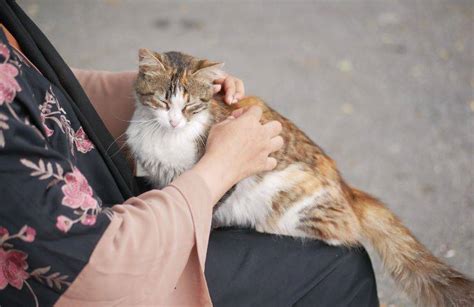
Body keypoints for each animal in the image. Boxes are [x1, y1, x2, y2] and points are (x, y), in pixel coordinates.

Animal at [126, 49, 474, 306]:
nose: (174, 121)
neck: (164, 136)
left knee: (343, 233)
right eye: (163, 100)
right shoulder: (165, 180)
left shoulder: (223, 180)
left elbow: (205, 210)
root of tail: (347, 188)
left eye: (191, 105)